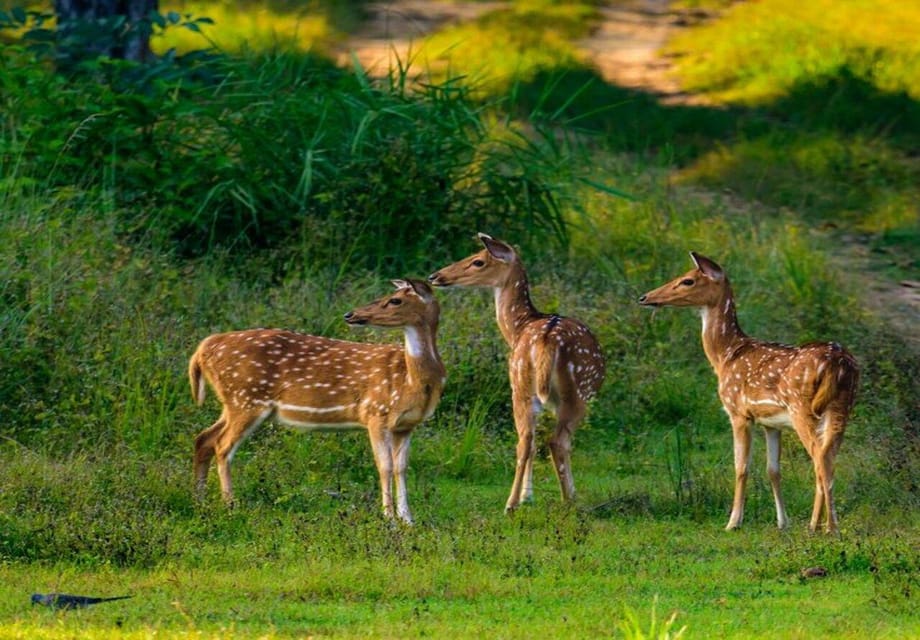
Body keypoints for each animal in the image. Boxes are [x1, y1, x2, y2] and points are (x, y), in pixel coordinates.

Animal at [188, 278, 446, 524]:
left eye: (395, 300)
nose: (350, 314)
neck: (412, 381)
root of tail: (202, 349)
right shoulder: (376, 413)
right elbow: (385, 466)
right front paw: (389, 519)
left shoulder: (406, 425)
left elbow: (401, 468)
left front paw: (408, 520)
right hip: (246, 398)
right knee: (222, 445)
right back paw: (230, 505)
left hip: (233, 402)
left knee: (204, 438)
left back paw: (200, 501)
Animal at [430, 232, 608, 512]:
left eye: (478, 261)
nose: (435, 276)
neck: (517, 328)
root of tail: (547, 340)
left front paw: (527, 496)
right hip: (576, 391)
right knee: (556, 441)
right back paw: (568, 500)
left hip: (522, 384)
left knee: (526, 440)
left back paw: (513, 503)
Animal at [636, 252, 860, 532]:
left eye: (687, 280)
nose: (645, 297)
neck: (725, 356)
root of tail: (839, 363)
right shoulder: (771, 423)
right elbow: (773, 470)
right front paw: (782, 522)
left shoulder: (738, 412)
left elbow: (741, 467)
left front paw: (733, 522)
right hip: (841, 408)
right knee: (828, 460)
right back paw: (818, 525)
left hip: (803, 408)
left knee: (821, 460)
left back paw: (826, 527)